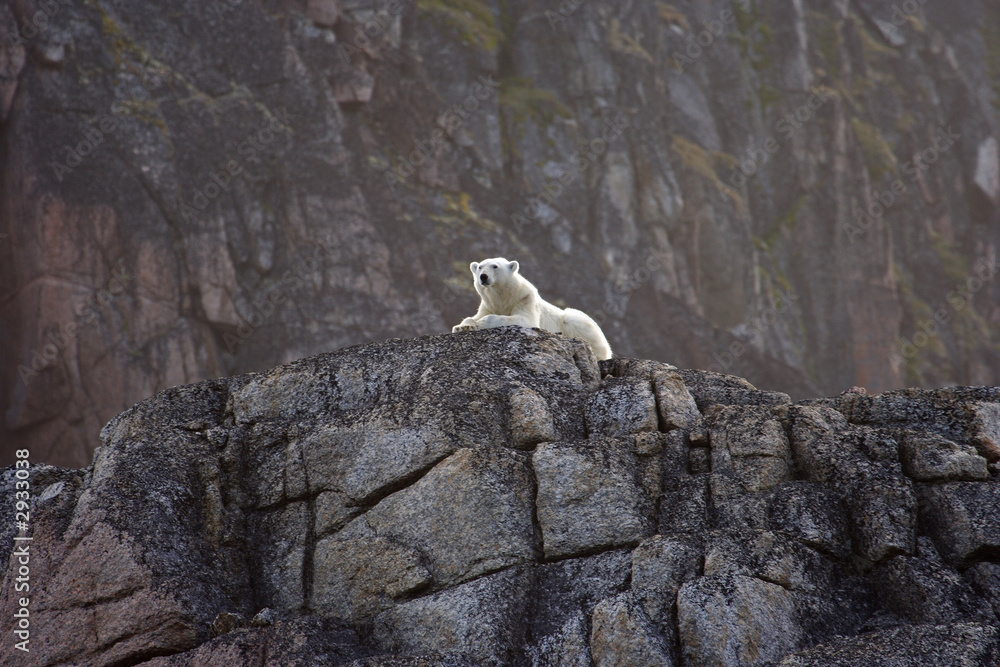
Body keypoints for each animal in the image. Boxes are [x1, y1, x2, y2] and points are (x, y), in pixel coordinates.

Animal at [451, 257, 613, 361]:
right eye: (479, 267)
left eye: (495, 266)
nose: (483, 276)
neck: (504, 296)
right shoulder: (488, 305)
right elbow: (473, 317)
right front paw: (463, 326)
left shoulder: (525, 299)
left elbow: (525, 320)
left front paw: (481, 323)